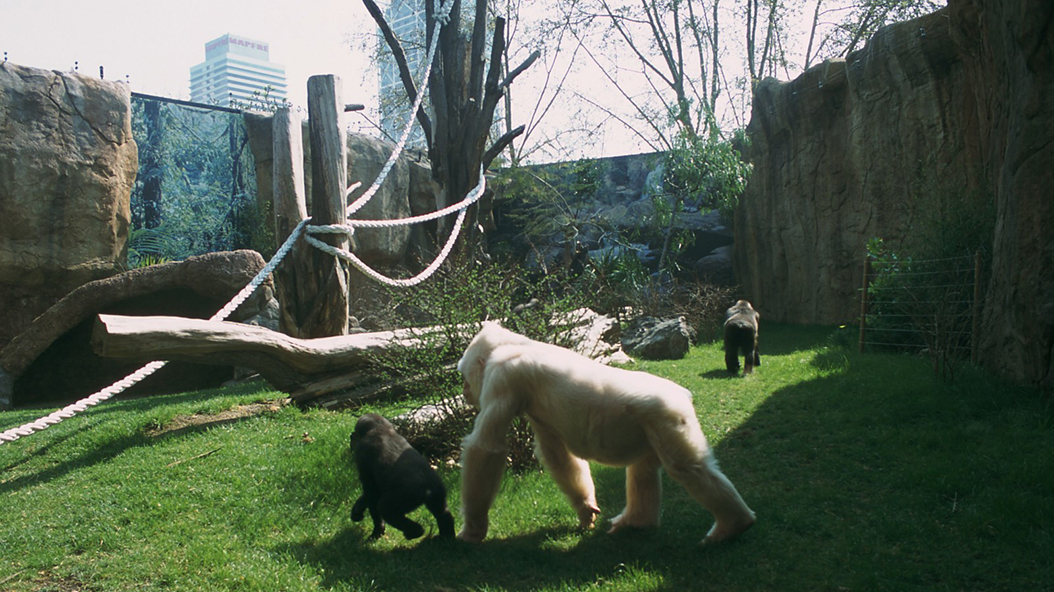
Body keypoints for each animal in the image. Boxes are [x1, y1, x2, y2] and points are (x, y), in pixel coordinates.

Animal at [457, 322, 754, 543]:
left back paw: (733, 524)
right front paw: (585, 508)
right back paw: (636, 521)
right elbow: (557, 455)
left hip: (669, 415)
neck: (515, 343)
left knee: (688, 468)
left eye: (465, 376)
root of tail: (683, 393)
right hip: (652, 425)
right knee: (644, 469)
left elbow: (486, 447)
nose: (465, 391)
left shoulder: (503, 377)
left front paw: (473, 528)